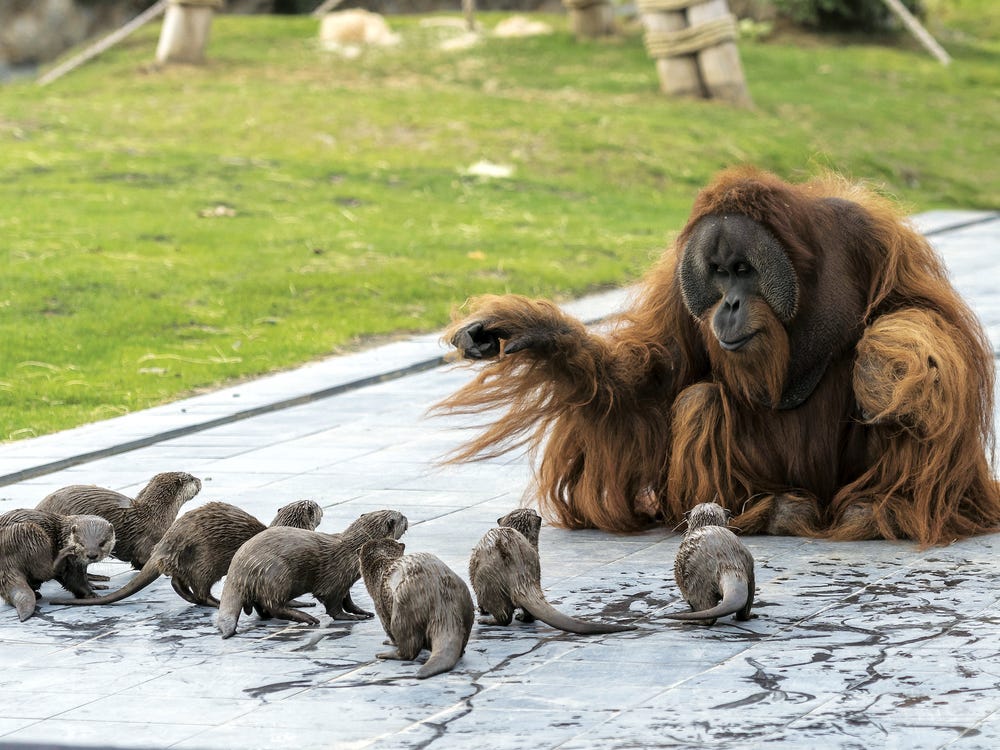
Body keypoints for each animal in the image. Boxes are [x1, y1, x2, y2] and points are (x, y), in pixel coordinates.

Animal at [51, 500, 324, 612]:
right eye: (316, 506)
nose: (319, 505)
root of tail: (166, 543)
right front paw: (300, 604)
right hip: (206, 560)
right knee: (199, 588)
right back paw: (214, 602)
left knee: (177, 581)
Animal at [217, 508, 408, 636]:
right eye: (401, 517)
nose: (406, 517)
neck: (352, 553)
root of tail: (238, 570)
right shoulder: (334, 581)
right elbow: (334, 606)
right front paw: (350, 617)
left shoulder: (344, 581)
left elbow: (348, 600)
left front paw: (362, 612)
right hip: (277, 574)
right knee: (274, 605)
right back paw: (307, 618)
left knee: (262, 605)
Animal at [358, 540, 474, 680]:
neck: (381, 568)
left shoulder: (379, 605)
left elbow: (388, 630)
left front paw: (390, 642)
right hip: (466, 600)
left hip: (403, 608)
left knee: (409, 648)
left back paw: (386, 654)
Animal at [466, 508, 632, 636]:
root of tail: (520, 576)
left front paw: (481, 610)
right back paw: (521, 616)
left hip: (486, 581)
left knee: (503, 615)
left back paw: (487, 620)